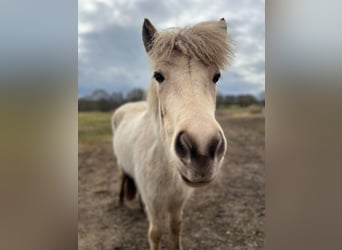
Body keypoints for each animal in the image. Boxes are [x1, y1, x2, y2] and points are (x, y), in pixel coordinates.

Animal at [111, 18, 232, 250]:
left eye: (217, 76)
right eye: (158, 76)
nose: (202, 148)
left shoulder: (177, 202)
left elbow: (176, 228)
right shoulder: (155, 203)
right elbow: (155, 233)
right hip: (122, 166)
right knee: (122, 178)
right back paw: (121, 200)